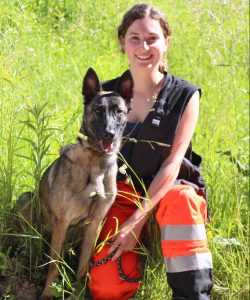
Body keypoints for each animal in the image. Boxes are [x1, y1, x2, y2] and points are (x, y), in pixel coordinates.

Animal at [39, 68, 133, 300]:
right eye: (98, 111)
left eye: (119, 111)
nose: (109, 134)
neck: (95, 162)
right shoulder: (62, 222)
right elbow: (54, 264)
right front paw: (47, 293)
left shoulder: (94, 223)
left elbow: (83, 266)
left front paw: (79, 291)